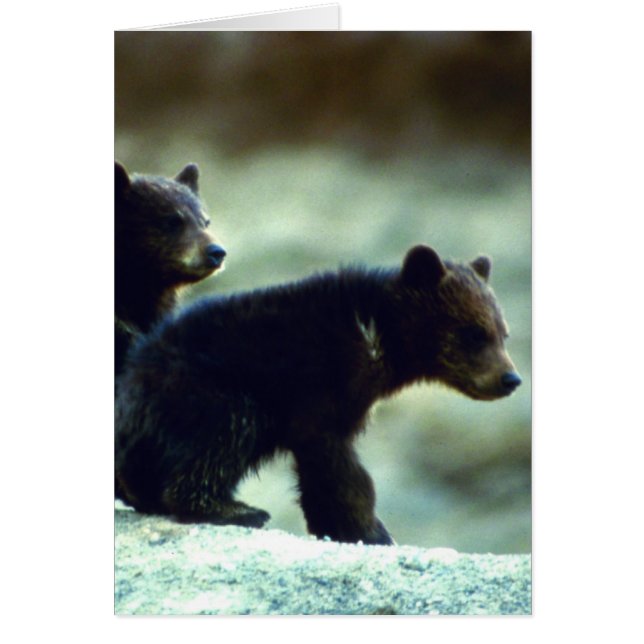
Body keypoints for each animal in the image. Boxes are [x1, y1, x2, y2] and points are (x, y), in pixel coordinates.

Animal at [115, 245, 521, 545]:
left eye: (503, 332)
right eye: (474, 333)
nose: (510, 378)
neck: (378, 335)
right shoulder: (323, 382)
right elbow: (335, 460)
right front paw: (367, 529)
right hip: (204, 388)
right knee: (224, 431)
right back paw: (238, 509)